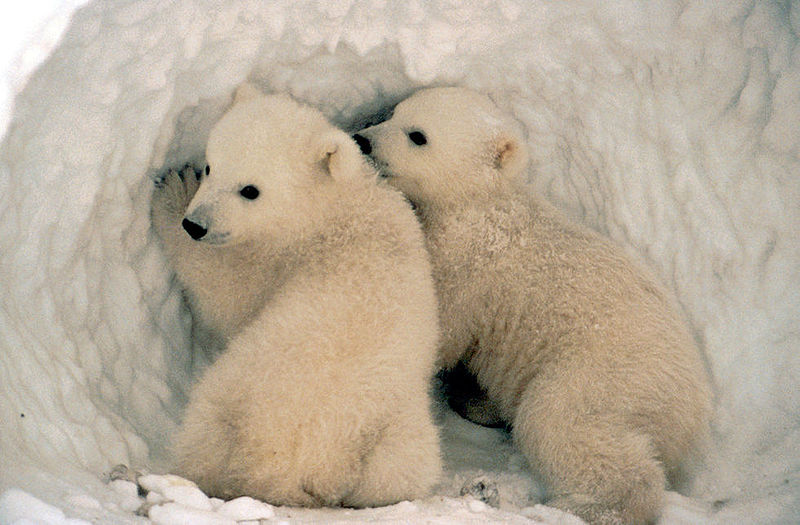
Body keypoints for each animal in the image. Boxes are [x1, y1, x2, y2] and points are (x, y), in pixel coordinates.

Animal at [150, 84, 442, 507]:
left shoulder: (275, 259)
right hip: (394, 438)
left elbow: (225, 295)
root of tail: (296, 468)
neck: (332, 208)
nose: (195, 224)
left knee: (203, 434)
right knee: (401, 473)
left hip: (233, 395)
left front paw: (172, 192)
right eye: (211, 166)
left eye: (250, 190)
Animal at [353, 86, 712, 524]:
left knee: (561, 422)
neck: (480, 202)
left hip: (609, 374)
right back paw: (478, 403)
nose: (363, 140)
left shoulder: (468, 262)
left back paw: (581, 507)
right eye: (393, 113)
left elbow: (440, 327)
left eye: (418, 135)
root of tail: (692, 411)